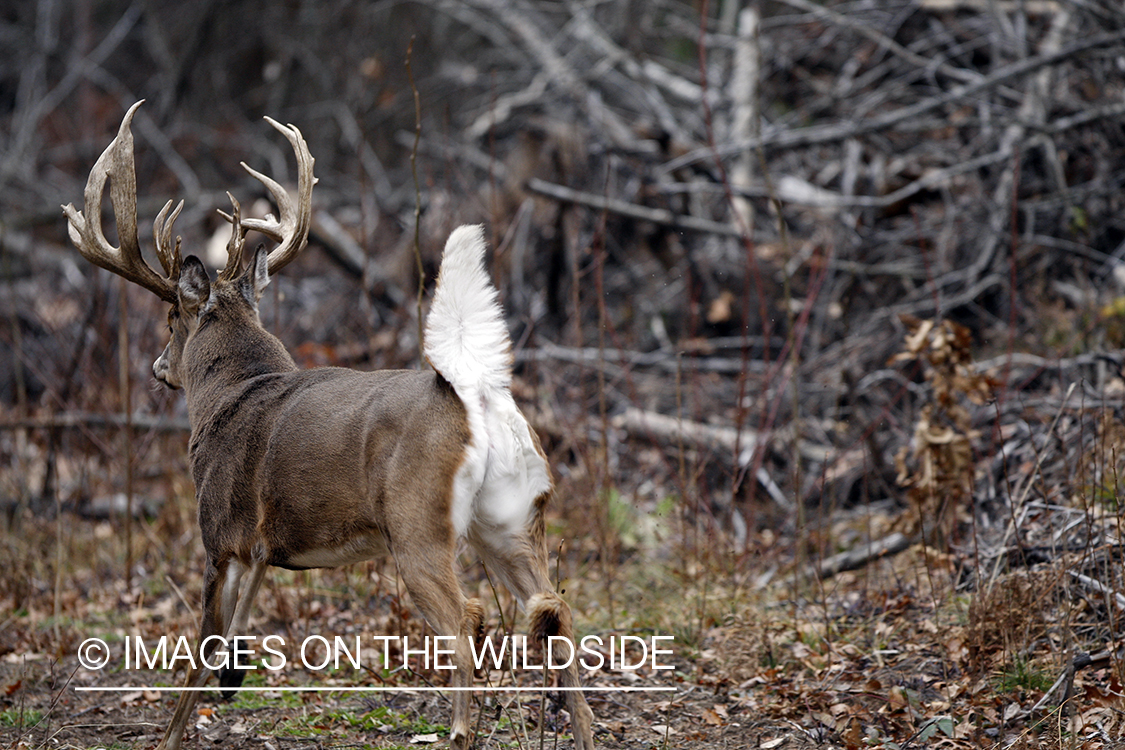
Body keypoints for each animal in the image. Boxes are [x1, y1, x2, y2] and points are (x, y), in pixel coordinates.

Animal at [62, 101, 598, 750]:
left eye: (170, 319)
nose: (158, 367)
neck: (231, 395)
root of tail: (477, 399)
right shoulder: (264, 548)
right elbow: (235, 641)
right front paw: (232, 684)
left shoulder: (220, 537)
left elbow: (202, 651)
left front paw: (169, 737)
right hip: (510, 520)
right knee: (556, 609)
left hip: (418, 522)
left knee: (468, 616)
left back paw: (457, 731)